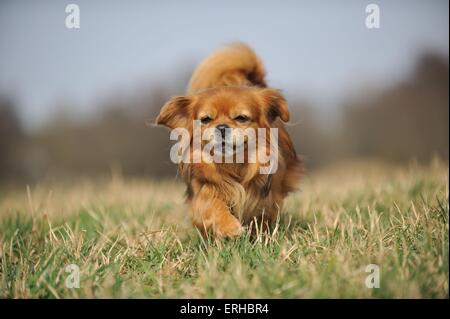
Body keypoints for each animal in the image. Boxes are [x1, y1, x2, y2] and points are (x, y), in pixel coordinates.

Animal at [156, 43, 302, 238]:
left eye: (241, 118)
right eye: (206, 119)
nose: (222, 126)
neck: (232, 165)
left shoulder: (267, 196)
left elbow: (261, 216)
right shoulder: (203, 190)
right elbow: (212, 204)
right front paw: (229, 227)